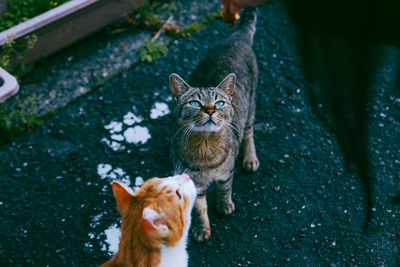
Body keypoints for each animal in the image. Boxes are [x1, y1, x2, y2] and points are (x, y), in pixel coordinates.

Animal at [169, 8, 260, 243]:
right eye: (194, 103)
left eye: (219, 103)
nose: (210, 110)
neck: (204, 147)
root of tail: (238, 36)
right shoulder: (196, 185)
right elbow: (200, 210)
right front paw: (202, 229)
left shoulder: (226, 174)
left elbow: (225, 189)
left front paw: (224, 204)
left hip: (251, 106)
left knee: (249, 133)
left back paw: (250, 158)